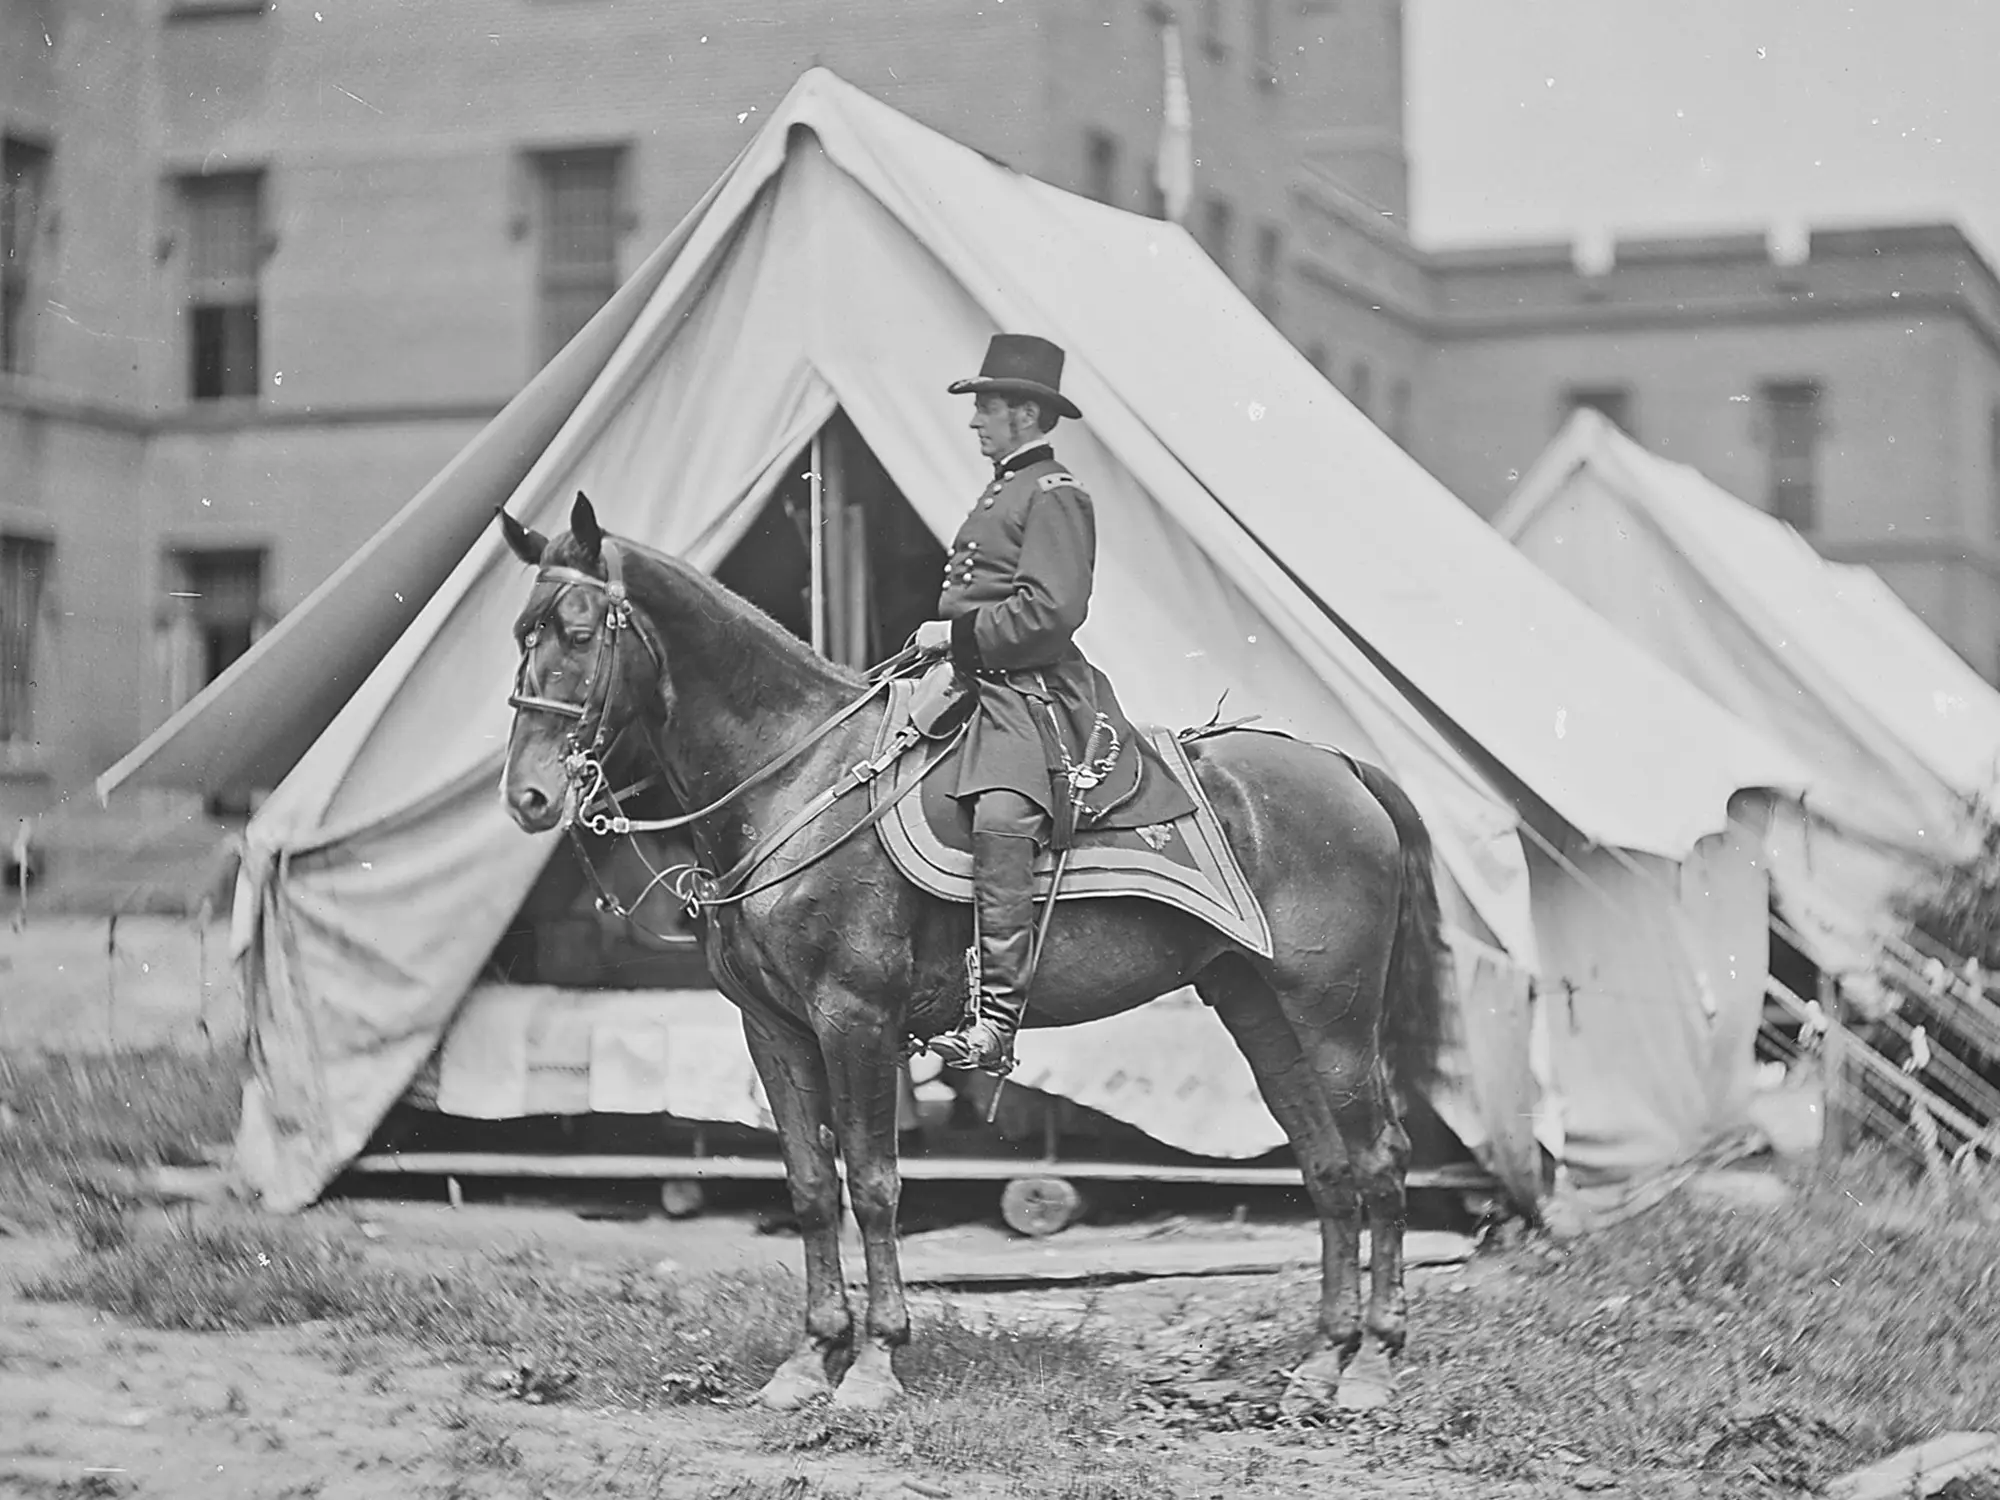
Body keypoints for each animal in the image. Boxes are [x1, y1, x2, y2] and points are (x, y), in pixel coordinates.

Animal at [494, 496, 1448, 1424]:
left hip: (1333, 1017)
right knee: (1327, 1167)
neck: (795, 779)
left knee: (1380, 1158)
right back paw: (1321, 1363)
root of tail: (1344, 767)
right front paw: (809, 1359)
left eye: (578, 631)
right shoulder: (771, 1028)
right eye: (519, 634)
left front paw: (874, 1364)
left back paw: (1372, 1363)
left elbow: (874, 1183)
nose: (528, 796)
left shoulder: (856, 1020)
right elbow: (809, 1186)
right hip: (1261, 1010)